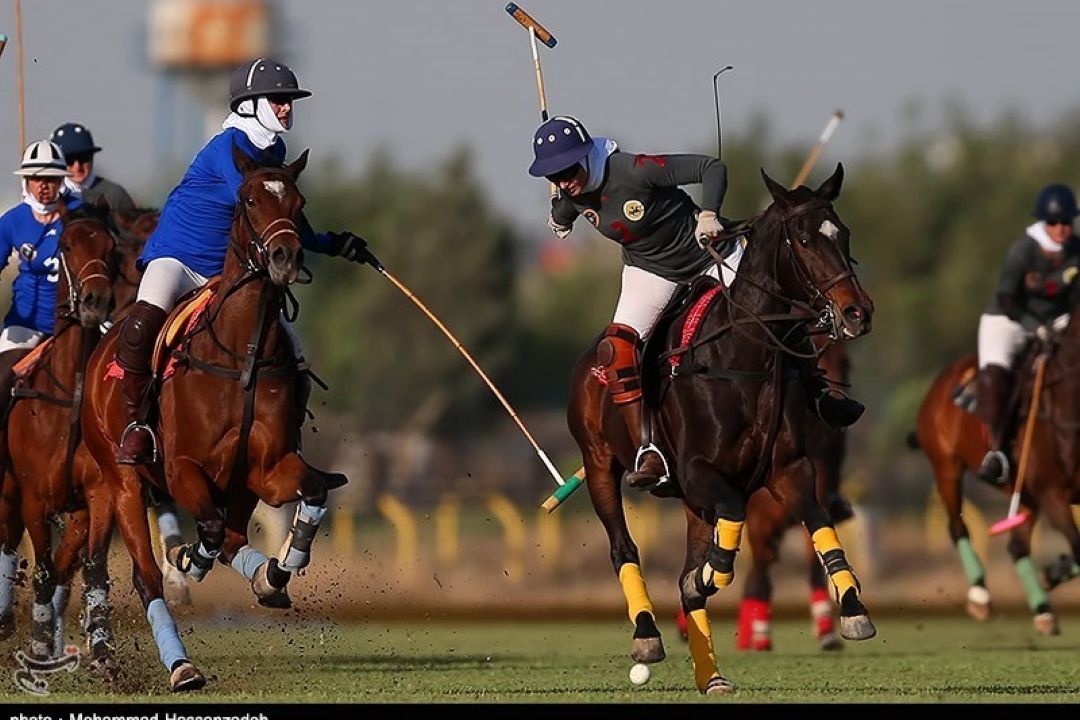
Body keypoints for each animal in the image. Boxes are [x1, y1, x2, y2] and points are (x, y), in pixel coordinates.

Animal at [0, 199, 118, 660]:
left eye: (111, 246)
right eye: (67, 245)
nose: (96, 300)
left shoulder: (94, 497)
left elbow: (85, 564)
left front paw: (100, 644)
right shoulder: (34, 498)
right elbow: (45, 571)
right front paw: (37, 642)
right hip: (8, 492)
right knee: (6, 541)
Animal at [80, 146, 341, 690]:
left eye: (300, 204)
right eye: (247, 199)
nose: (285, 257)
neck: (243, 354)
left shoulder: (269, 467)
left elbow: (312, 491)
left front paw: (279, 572)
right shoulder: (183, 468)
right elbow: (210, 531)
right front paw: (190, 559)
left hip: (234, 487)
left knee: (235, 537)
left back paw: (256, 576)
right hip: (121, 481)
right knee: (147, 574)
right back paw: (181, 665)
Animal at [565, 162, 876, 690]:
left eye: (844, 232)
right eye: (804, 240)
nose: (858, 312)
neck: (746, 357)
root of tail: (587, 361)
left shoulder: (789, 470)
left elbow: (818, 522)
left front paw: (853, 608)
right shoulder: (697, 472)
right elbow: (729, 525)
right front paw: (711, 578)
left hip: (690, 500)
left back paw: (711, 675)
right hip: (601, 463)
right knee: (623, 548)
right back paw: (648, 633)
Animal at [915, 313, 1080, 634]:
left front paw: (1054, 572)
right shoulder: (1053, 492)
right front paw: (1054, 572)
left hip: (1025, 493)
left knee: (1017, 545)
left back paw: (1043, 610)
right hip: (946, 468)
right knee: (957, 527)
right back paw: (980, 595)